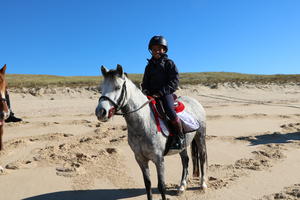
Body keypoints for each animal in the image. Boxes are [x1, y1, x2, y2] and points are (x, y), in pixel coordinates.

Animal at [95, 65, 207, 199]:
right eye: (102, 88)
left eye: (117, 87)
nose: (100, 112)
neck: (144, 122)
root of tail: (195, 101)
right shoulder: (140, 159)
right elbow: (148, 184)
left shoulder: (158, 159)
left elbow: (161, 186)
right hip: (183, 145)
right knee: (185, 161)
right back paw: (181, 187)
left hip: (200, 136)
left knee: (202, 157)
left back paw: (203, 185)